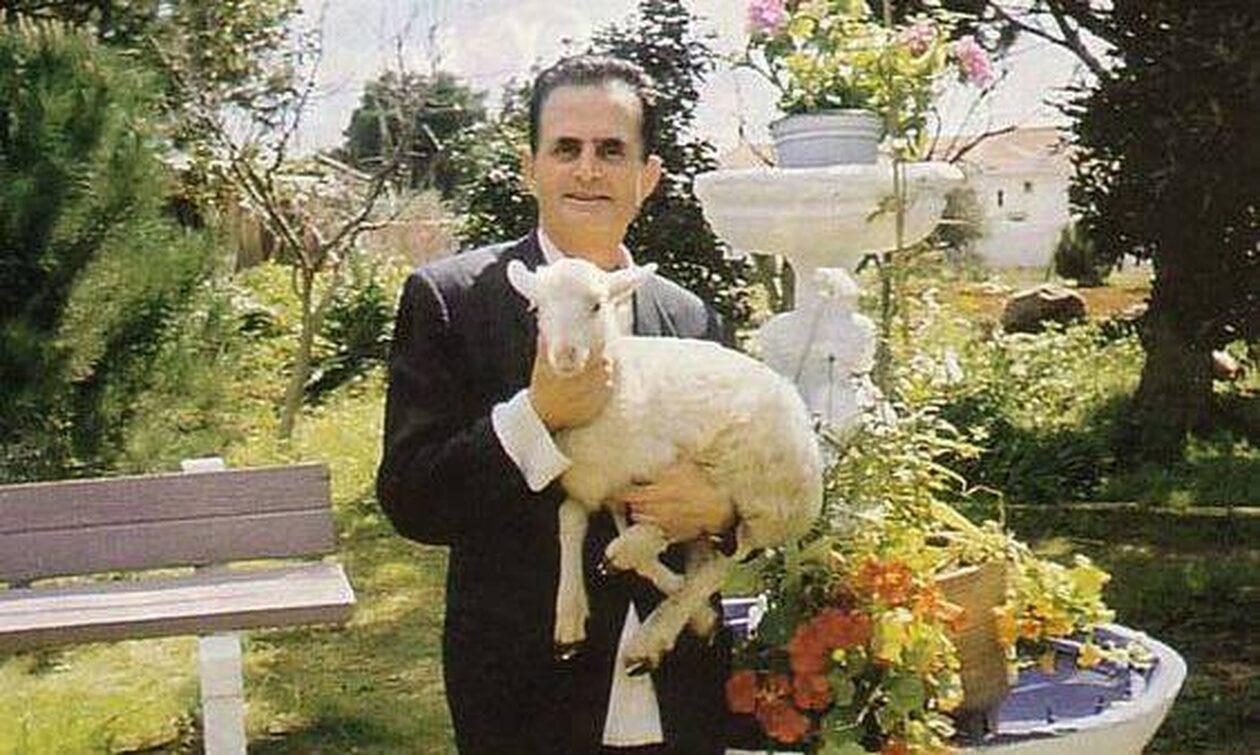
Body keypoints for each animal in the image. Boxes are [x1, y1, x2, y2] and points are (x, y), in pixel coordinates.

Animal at [507, 257, 823, 672]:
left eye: (596, 306)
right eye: (538, 309)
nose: (565, 357)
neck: (619, 387)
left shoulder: (662, 467)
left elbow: (653, 529)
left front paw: (630, 554)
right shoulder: (590, 487)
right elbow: (569, 520)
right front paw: (570, 616)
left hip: (763, 496)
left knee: (727, 557)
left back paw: (653, 633)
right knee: (709, 562)